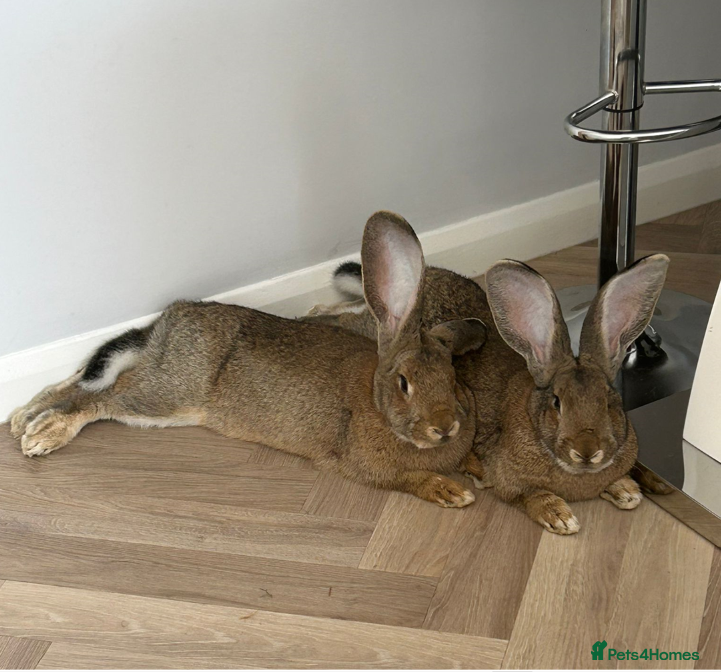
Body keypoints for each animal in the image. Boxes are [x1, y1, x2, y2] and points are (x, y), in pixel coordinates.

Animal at [7, 212, 488, 508]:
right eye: (404, 383)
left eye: (453, 378)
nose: (446, 428)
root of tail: (169, 319)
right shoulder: (359, 464)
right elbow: (403, 479)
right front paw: (453, 492)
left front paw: (476, 468)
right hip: (169, 397)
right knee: (102, 398)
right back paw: (42, 434)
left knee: (84, 378)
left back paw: (21, 418)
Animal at [307, 247, 670, 533]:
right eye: (557, 403)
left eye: (610, 403)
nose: (587, 451)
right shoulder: (507, 480)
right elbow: (528, 495)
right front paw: (560, 517)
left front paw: (627, 491)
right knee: (339, 314)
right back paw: (313, 312)